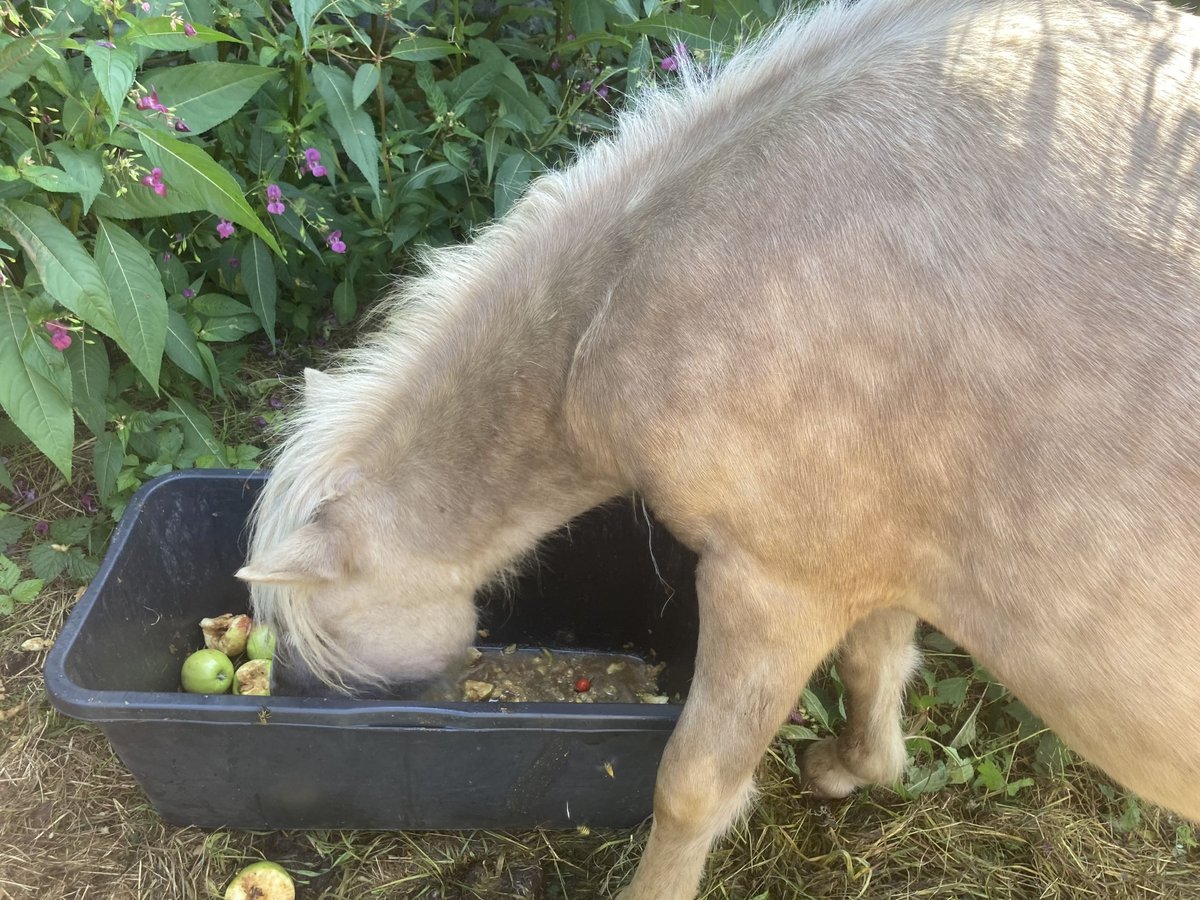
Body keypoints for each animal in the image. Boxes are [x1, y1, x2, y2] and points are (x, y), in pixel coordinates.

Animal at [236, 3, 1200, 897]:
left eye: (322, 642)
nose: (288, 699)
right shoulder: (878, 558)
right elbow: (878, 667)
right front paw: (852, 769)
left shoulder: (773, 586)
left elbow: (693, 786)